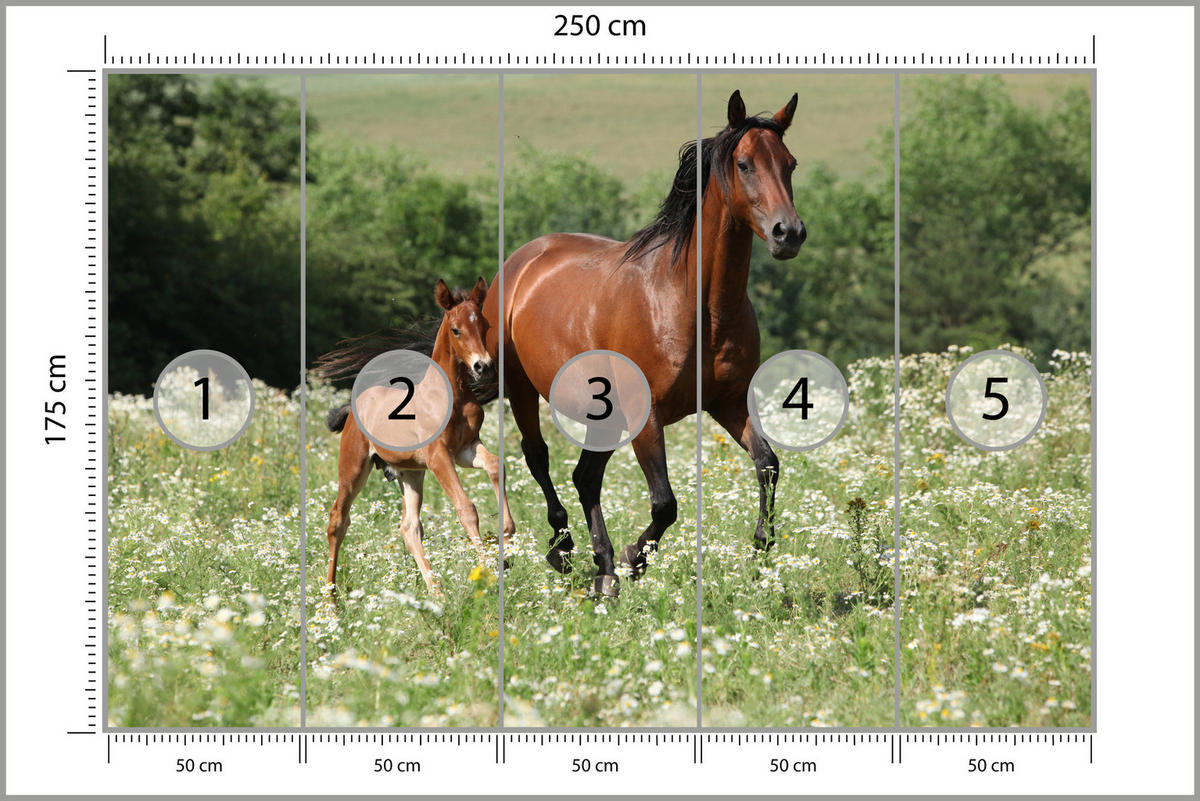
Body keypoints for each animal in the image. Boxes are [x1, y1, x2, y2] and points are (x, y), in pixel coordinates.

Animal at [316, 277, 514, 595]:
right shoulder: (439, 457)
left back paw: (437, 592)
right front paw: (490, 570)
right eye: (456, 329)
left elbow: (496, 465)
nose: (483, 366)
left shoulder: (466, 449)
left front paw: (506, 536)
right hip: (354, 467)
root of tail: (353, 406)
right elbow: (466, 508)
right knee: (338, 520)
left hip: (410, 473)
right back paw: (331, 599)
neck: (452, 396)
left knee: (409, 527)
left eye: (484, 325)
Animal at [483, 90, 805, 597]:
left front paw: (760, 543)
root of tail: (521, 261)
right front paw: (636, 558)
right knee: (539, 457)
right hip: (520, 388)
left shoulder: (728, 402)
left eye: (790, 164)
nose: (787, 234)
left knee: (585, 477)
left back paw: (603, 567)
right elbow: (665, 503)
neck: (697, 304)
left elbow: (768, 463)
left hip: (603, 413)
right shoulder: (646, 415)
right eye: (744, 164)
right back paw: (565, 551)